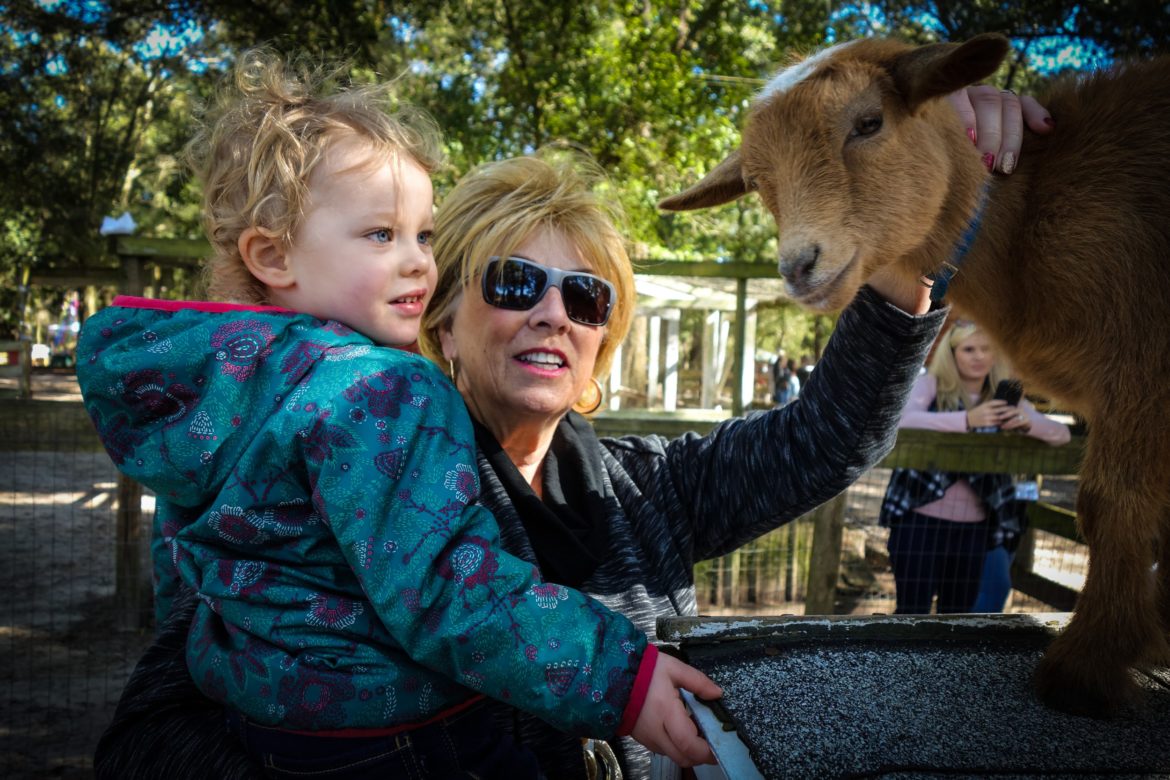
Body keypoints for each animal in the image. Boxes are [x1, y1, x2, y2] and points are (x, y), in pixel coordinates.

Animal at [664, 36, 1170, 720]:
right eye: (758, 181)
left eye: (869, 123)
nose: (798, 266)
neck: (1029, 223)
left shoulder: (1141, 366)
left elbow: (1111, 501)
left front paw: (1085, 671)